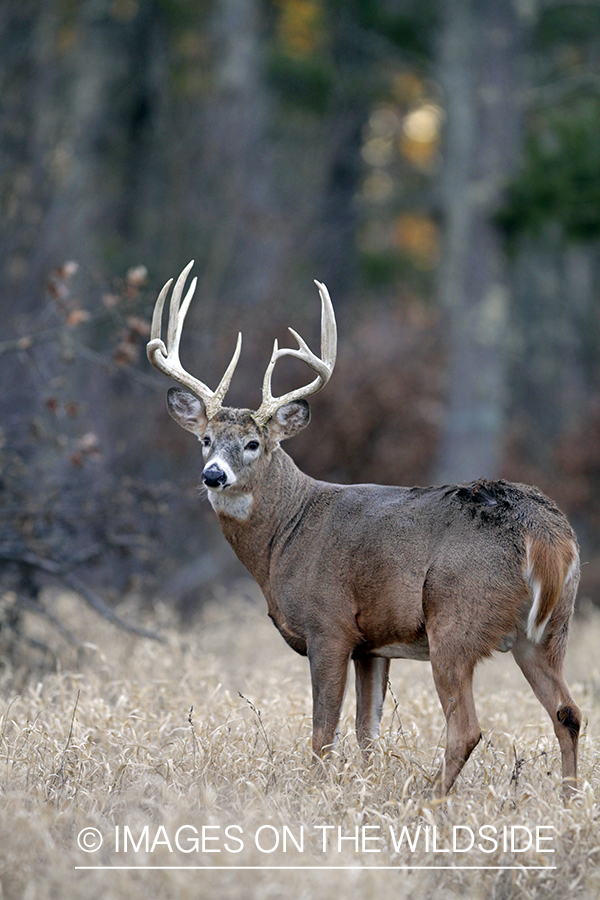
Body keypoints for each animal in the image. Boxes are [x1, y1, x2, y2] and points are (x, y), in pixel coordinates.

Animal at [149, 260, 580, 796]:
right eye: (205, 439)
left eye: (253, 443)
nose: (213, 474)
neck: (284, 537)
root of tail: (545, 534)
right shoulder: (372, 646)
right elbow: (366, 730)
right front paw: (364, 787)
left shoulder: (329, 625)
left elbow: (323, 731)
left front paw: (317, 792)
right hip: (547, 631)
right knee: (568, 712)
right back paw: (568, 798)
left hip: (455, 620)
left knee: (466, 727)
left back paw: (431, 800)